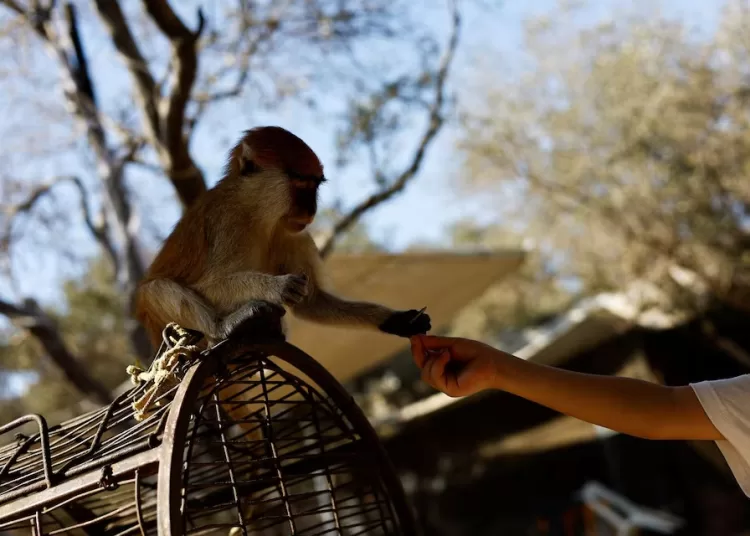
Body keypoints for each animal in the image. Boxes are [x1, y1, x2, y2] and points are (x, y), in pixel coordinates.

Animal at [134, 125, 431, 351]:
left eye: (315, 185)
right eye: (300, 185)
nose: (311, 210)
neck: (258, 211)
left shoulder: (293, 234)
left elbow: (312, 302)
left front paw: (397, 320)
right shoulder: (228, 222)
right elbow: (206, 286)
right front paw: (276, 287)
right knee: (156, 289)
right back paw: (225, 327)